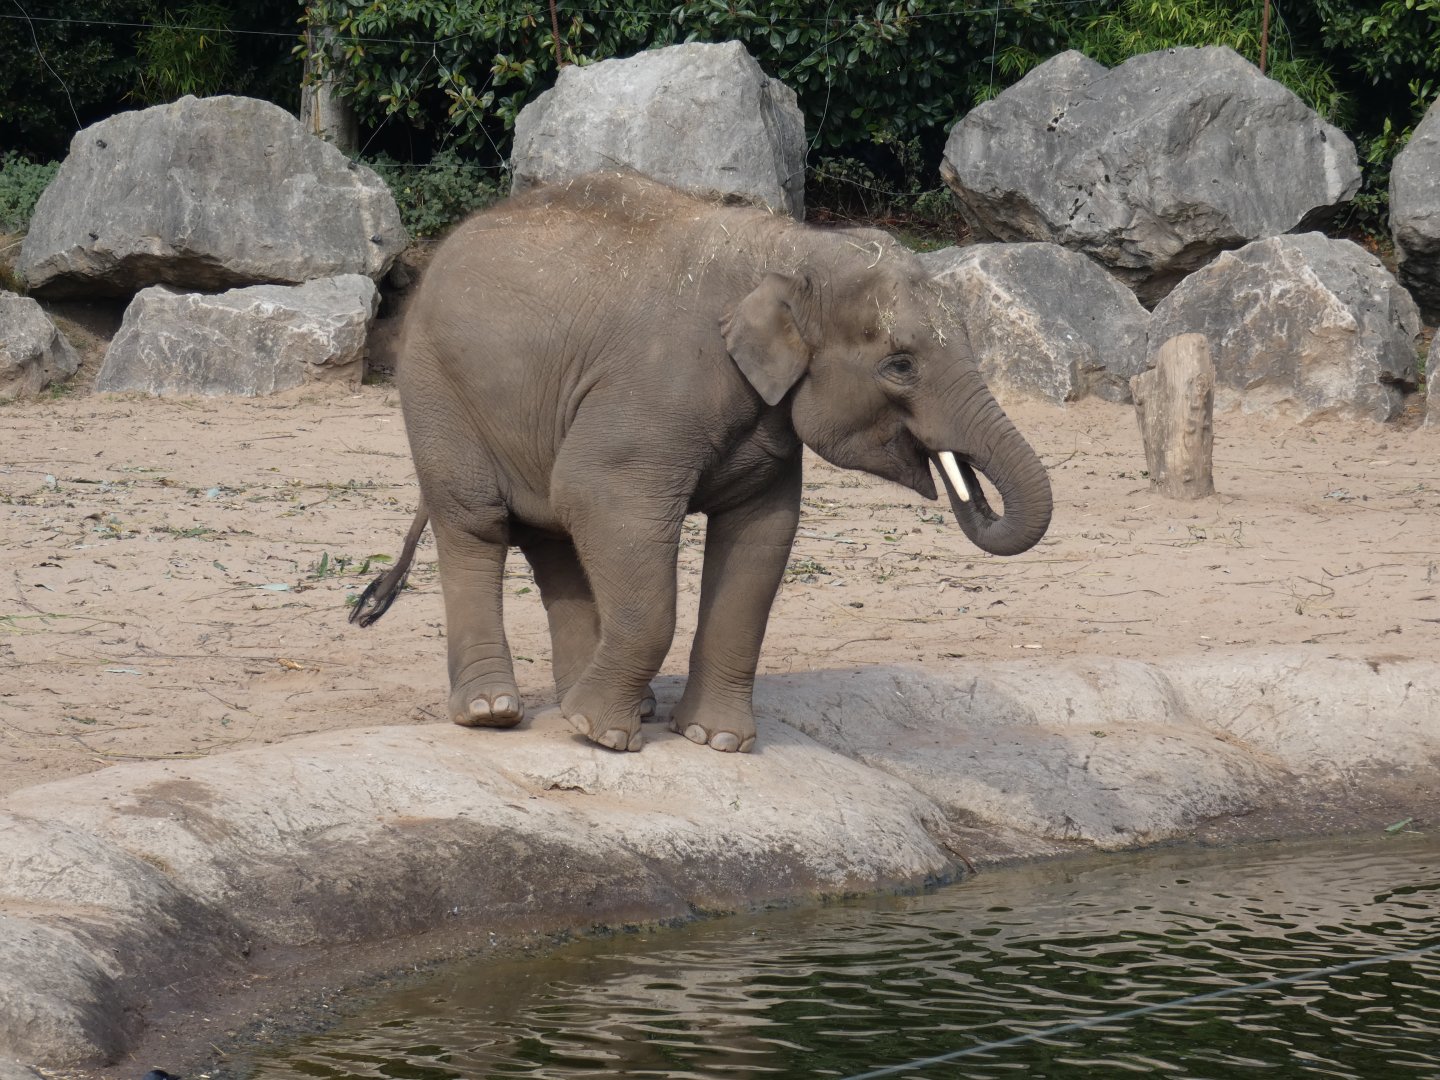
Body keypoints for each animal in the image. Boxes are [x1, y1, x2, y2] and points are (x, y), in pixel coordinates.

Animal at [353, 171, 1052, 755]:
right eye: (900, 364)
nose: (963, 481)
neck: (792, 251)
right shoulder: (657, 385)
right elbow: (600, 495)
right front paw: (603, 737)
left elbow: (761, 537)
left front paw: (714, 741)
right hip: (436, 387)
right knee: (477, 522)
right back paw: (494, 712)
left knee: (550, 536)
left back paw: (593, 700)